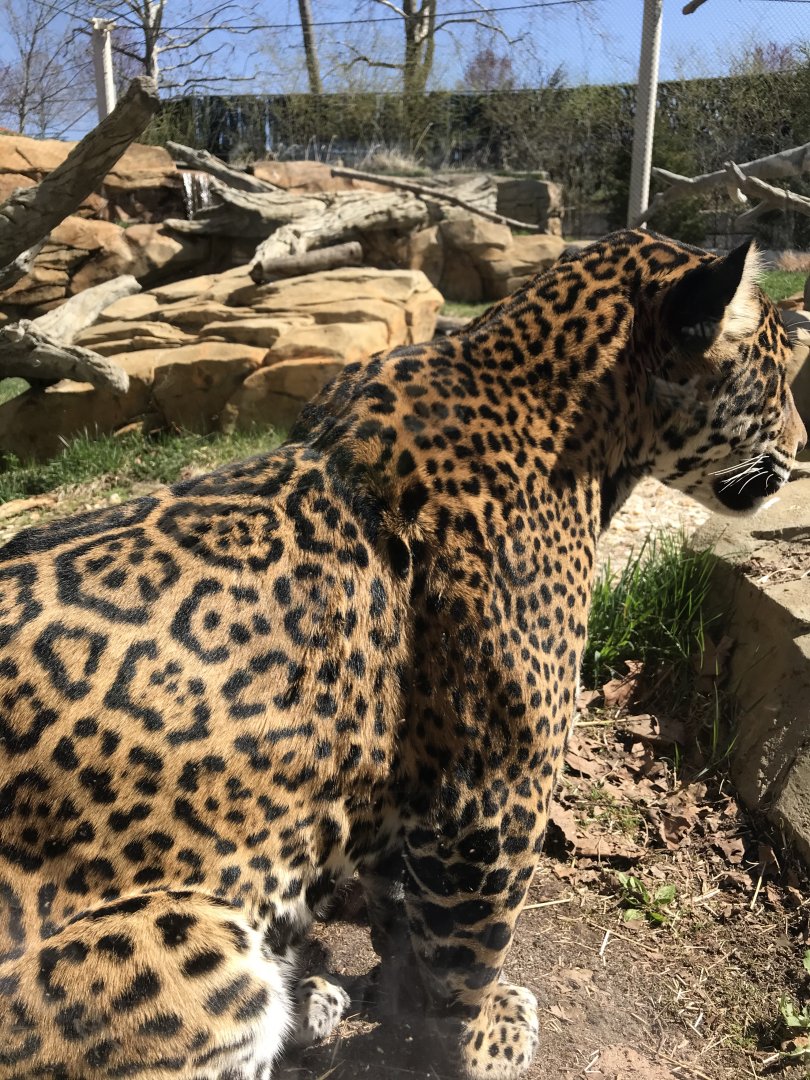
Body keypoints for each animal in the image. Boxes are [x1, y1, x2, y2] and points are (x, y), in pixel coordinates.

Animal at [0, 228, 803, 1080]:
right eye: (782, 379)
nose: (802, 445)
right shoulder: (494, 795)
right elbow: (468, 949)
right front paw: (482, 1034)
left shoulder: (412, 774)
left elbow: (403, 904)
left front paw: (400, 977)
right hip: (198, 948)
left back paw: (311, 995)